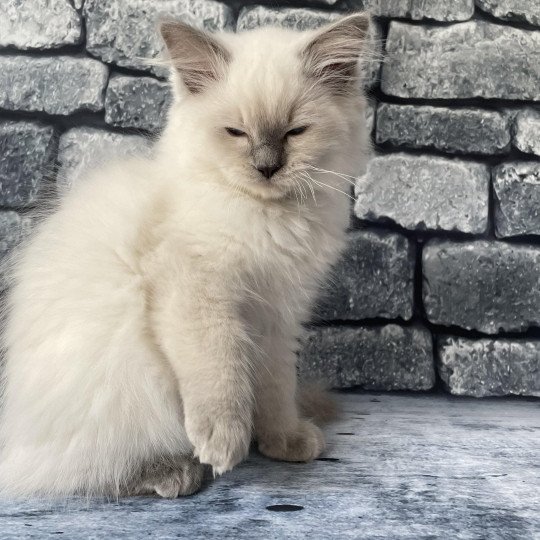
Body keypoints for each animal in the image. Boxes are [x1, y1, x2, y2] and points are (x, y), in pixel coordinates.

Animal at [0, 12, 372, 500]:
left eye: (295, 132)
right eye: (236, 132)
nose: (267, 166)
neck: (264, 216)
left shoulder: (277, 316)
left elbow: (276, 387)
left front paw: (282, 440)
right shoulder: (197, 291)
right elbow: (219, 370)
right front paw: (225, 442)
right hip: (123, 378)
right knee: (86, 470)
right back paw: (176, 472)